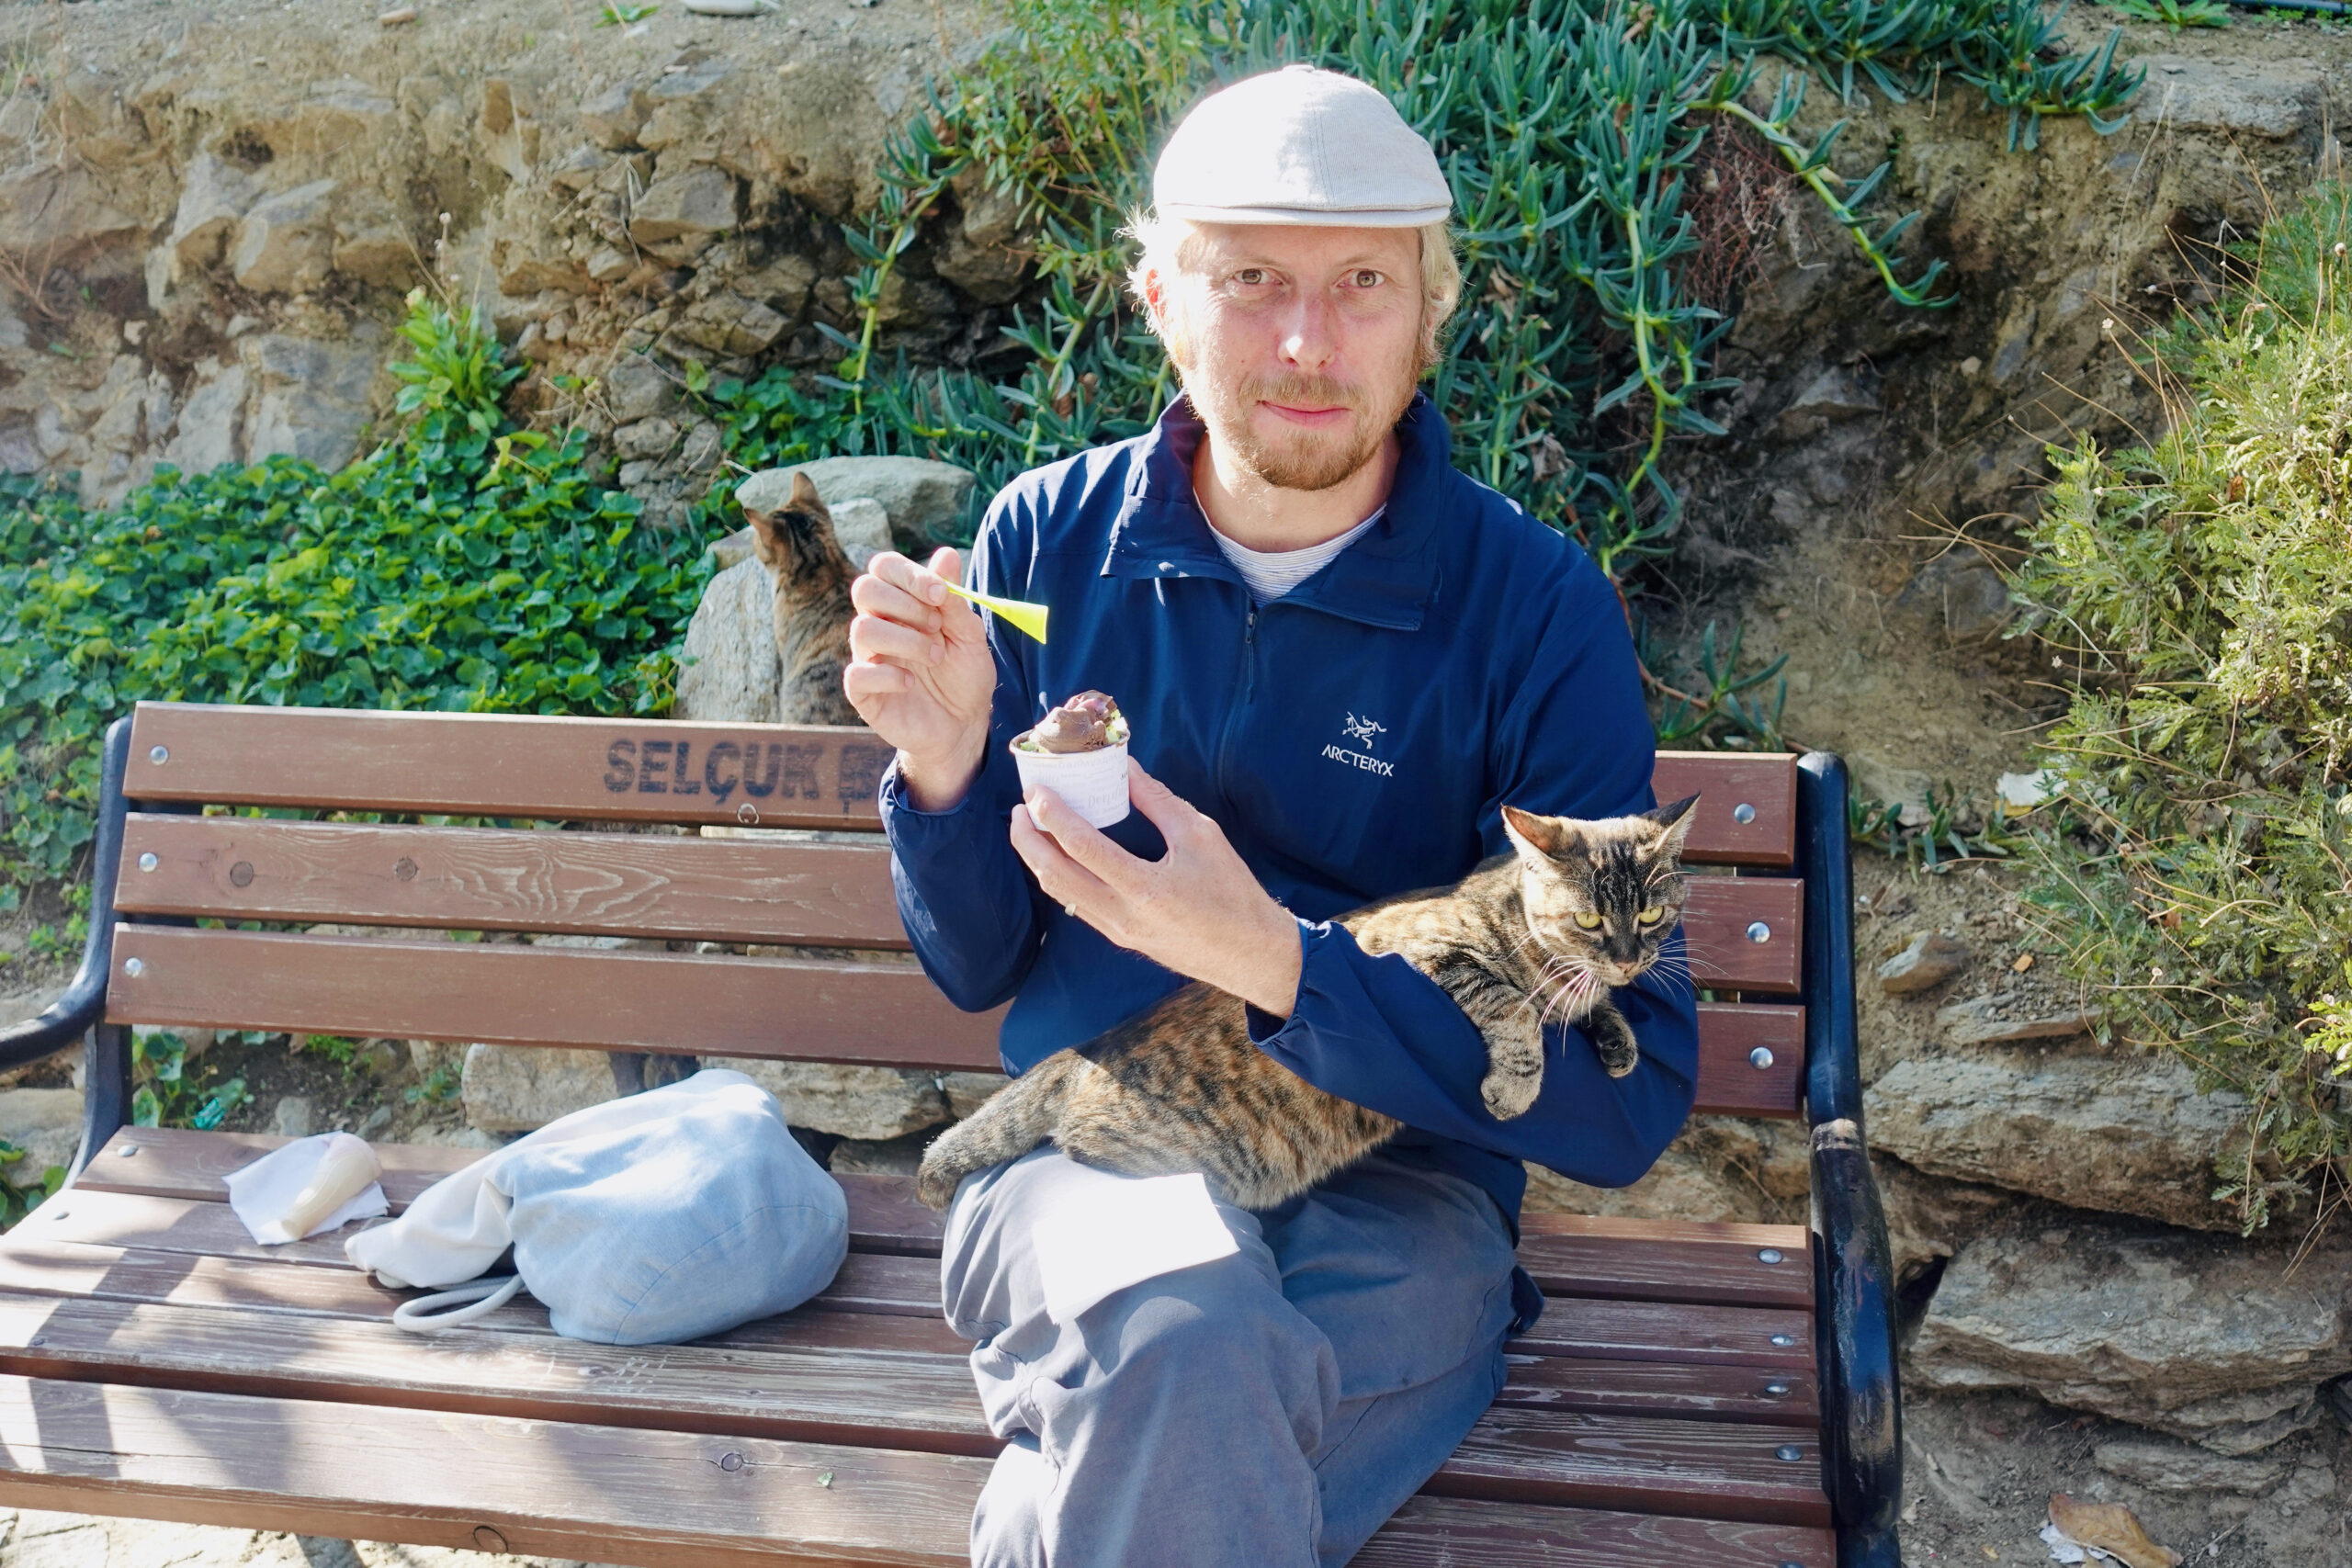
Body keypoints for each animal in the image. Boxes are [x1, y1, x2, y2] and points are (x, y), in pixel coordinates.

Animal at [908, 799, 1702, 1213]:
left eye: (1653, 912)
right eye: (1592, 918)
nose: (1629, 956)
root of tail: (1082, 1054)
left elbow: (1582, 1004)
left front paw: (1617, 1034)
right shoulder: (1420, 951)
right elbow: (1509, 1003)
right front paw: (1517, 1081)